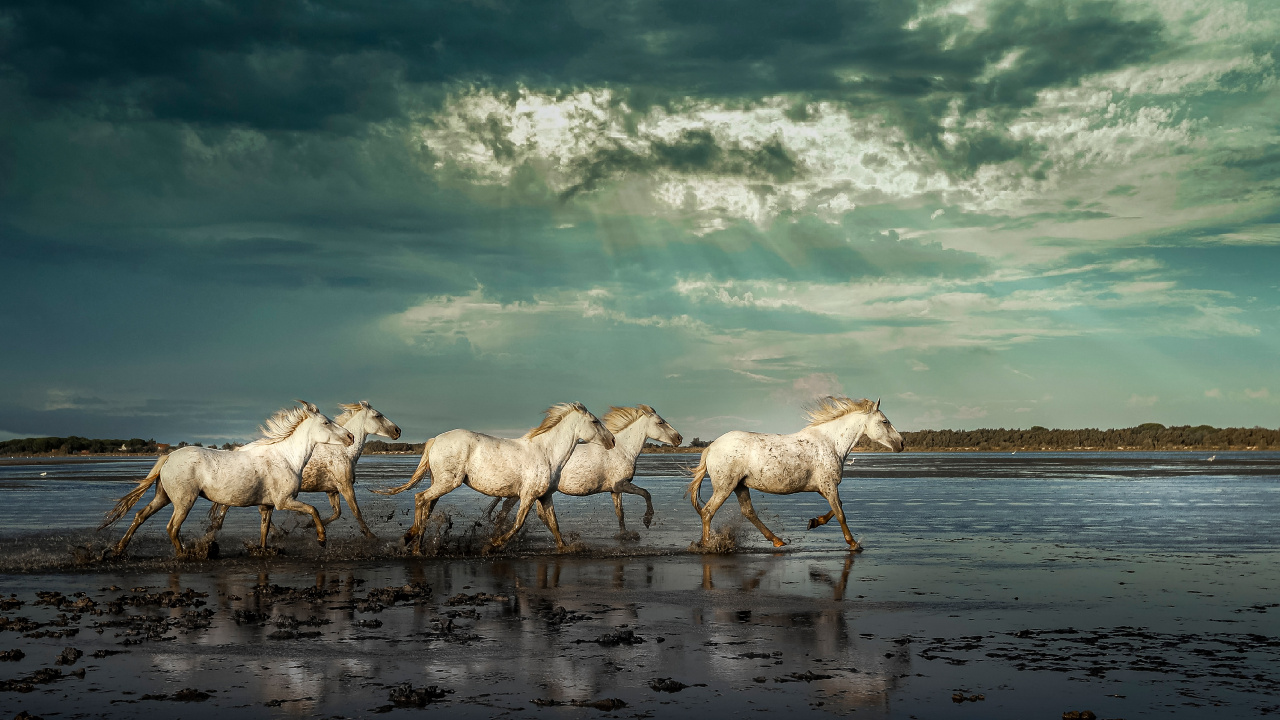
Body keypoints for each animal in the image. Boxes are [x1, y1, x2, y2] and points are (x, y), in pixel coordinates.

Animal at [100, 401, 354, 556]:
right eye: (326, 422)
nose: (351, 437)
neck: (286, 457)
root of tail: (169, 456)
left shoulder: (267, 505)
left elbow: (264, 530)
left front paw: (262, 550)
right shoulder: (285, 501)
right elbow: (313, 510)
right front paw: (321, 539)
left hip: (163, 497)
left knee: (140, 515)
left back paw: (119, 549)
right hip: (184, 501)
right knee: (172, 527)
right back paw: (184, 555)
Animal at [207, 400, 401, 539]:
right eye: (378, 415)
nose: (397, 430)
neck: (342, 452)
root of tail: (238, 449)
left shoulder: (332, 490)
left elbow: (336, 513)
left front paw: (310, 526)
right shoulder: (345, 486)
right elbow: (356, 512)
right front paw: (371, 535)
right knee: (227, 506)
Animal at [374, 402, 614, 553]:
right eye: (594, 421)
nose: (612, 440)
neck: (546, 453)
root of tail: (435, 440)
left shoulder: (544, 496)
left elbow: (554, 525)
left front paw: (565, 548)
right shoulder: (527, 495)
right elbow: (517, 524)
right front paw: (492, 545)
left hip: (440, 483)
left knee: (427, 505)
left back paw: (417, 545)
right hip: (447, 482)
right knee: (420, 498)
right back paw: (411, 539)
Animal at [484, 404, 682, 533]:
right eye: (661, 422)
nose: (679, 438)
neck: (623, 450)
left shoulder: (615, 489)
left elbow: (620, 513)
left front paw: (626, 535)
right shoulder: (621, 484)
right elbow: (646, 493)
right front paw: (647, 520)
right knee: (504, 512)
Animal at [686, 397, 903, 551]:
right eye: (885, 421)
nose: (901, 443)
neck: (831, 443)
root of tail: (712, 447)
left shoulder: (824, 487)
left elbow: (837, 508)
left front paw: (814, 522)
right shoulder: (829, 485)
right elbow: (841, 513)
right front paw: (853, 543)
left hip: (740, 486)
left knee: (748, 512)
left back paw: (777, 541)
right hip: (725, 486)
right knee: (708, 512)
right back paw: (707, 546)